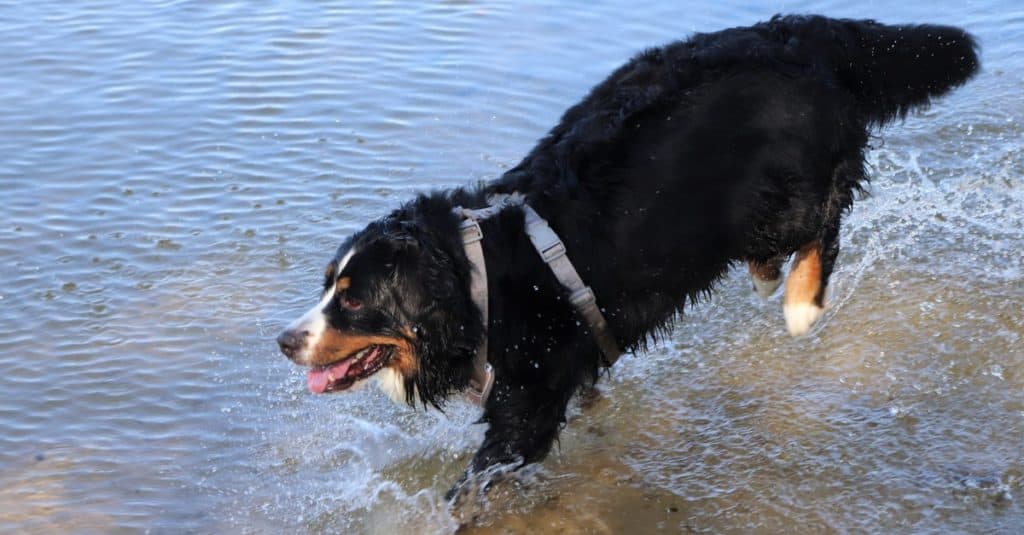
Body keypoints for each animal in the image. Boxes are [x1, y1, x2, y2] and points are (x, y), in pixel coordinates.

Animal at [276, 13, 978, 491]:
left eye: (353, 300)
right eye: (326, 285)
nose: (285, 340)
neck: (480, 285)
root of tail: (797, 32)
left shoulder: (525, 408)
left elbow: (477, 487)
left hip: (787, 188)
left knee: (825, 217)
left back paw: (800, 303)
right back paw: (766, 276)